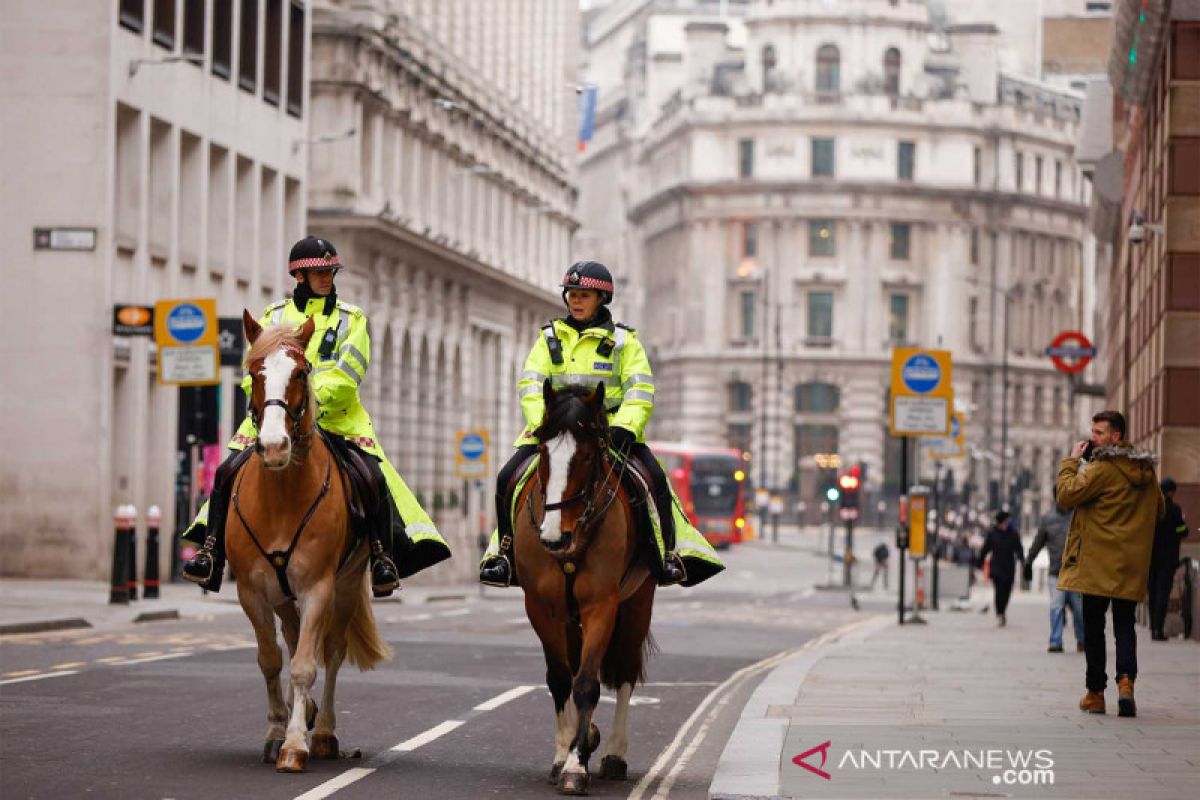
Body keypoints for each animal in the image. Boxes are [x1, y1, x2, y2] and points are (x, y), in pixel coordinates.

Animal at [228, 309, 388, 772]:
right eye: (254, 373)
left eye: (302, 372)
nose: (274, 446)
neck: (282, 497)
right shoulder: (251, 591)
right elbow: (270, 659)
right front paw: (276, 732)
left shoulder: (319, 586)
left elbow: (305, 665)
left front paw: (296, 743)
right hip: (282, 594)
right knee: (295, 634)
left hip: (346, 584)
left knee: (329, 651)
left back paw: (325, 732)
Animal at [508, 381, 652, 796]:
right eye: (542, 451)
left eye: (587, 455)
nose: (554, 537)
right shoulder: (541, 607)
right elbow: (560, 679)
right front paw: (565, 753)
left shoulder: (601, 604)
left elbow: (587, 683)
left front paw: (576, 765)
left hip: (636, 604)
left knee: (624, 671)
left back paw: (614, 753)